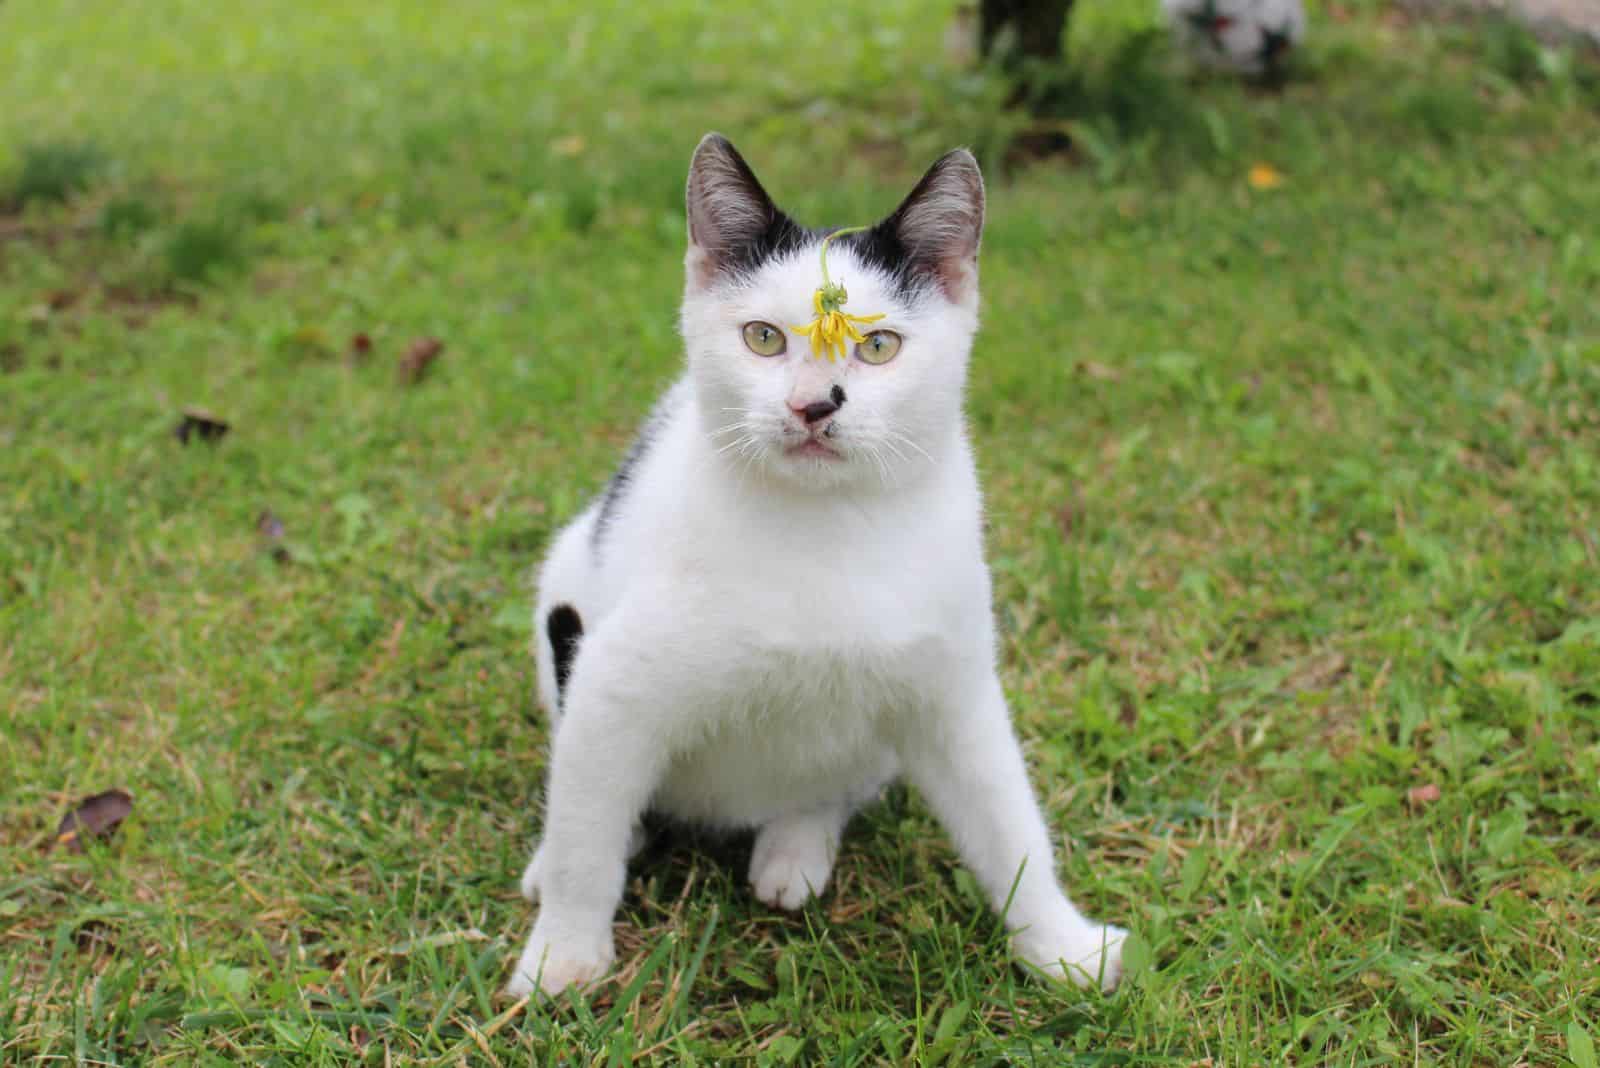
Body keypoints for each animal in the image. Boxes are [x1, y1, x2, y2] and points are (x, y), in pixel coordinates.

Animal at [508, 133, 1126, 1004]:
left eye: (878, 345)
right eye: (764, 338)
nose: (814, 404)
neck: (825, 524)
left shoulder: (953, 690)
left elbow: (1009, 822)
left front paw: (1060, 943)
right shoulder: (612, 683)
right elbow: (585, 835)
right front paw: (563, 952)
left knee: (830, 784)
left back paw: (797, 845)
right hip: (562, 590)